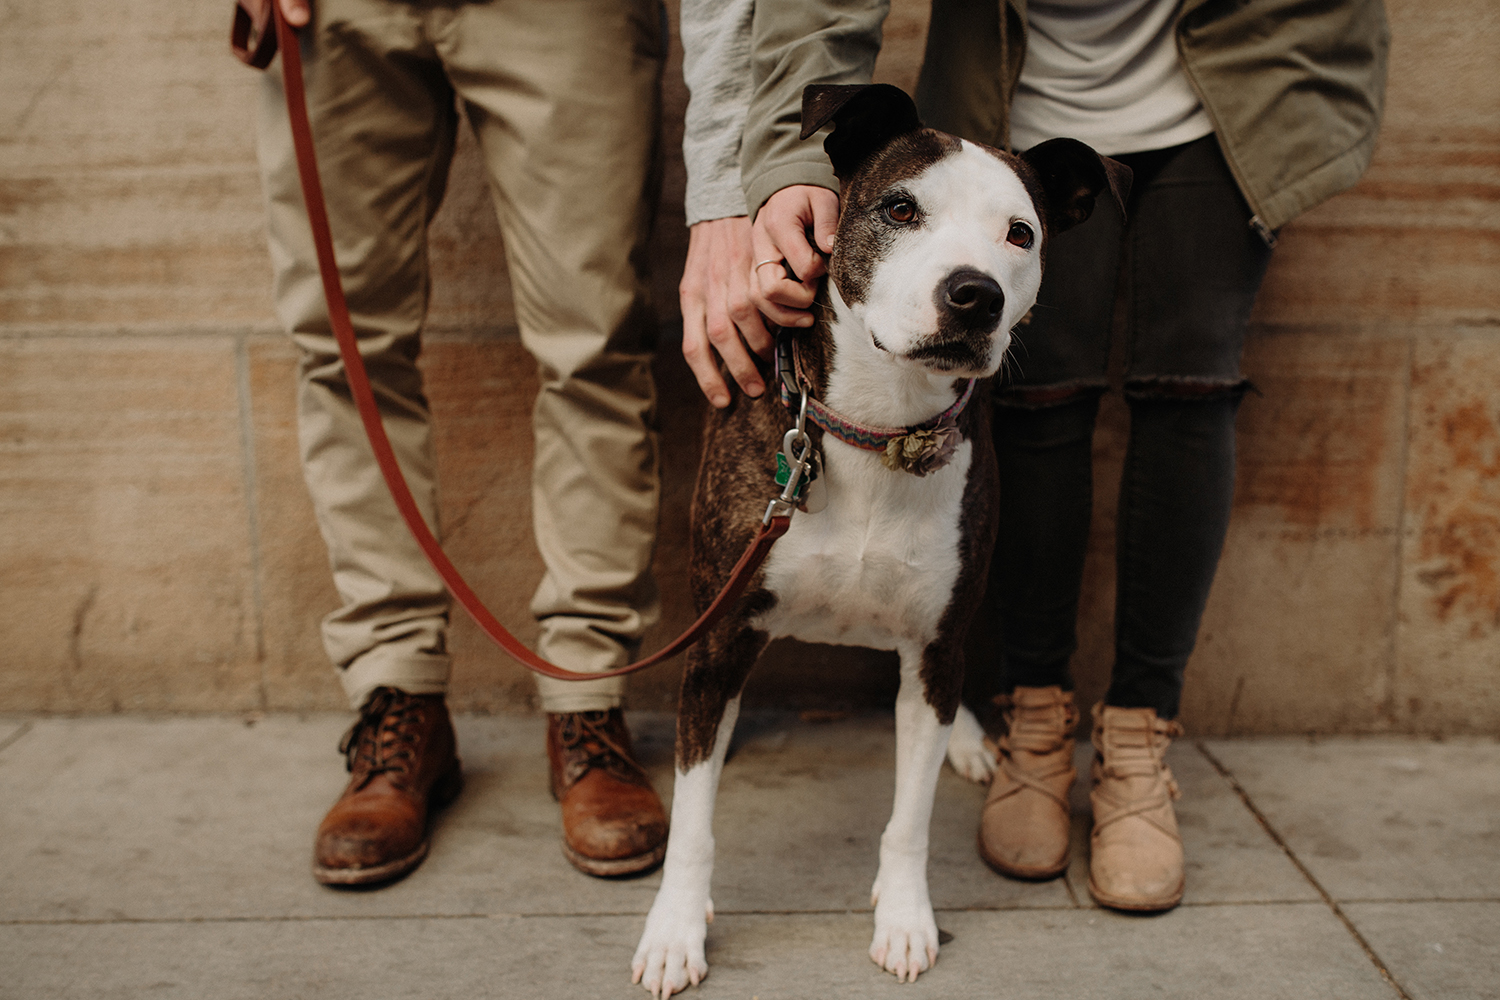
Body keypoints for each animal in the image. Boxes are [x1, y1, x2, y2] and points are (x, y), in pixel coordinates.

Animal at [630, 83, 1128, 995]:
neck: (877, 428)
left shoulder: (932, 643)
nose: (975, 295)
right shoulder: (716, 642)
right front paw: (675, 930)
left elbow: (909, 818)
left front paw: (903, 918)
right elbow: (693, 820)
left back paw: (966, 738)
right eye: (900, 209)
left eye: (1021, 233)